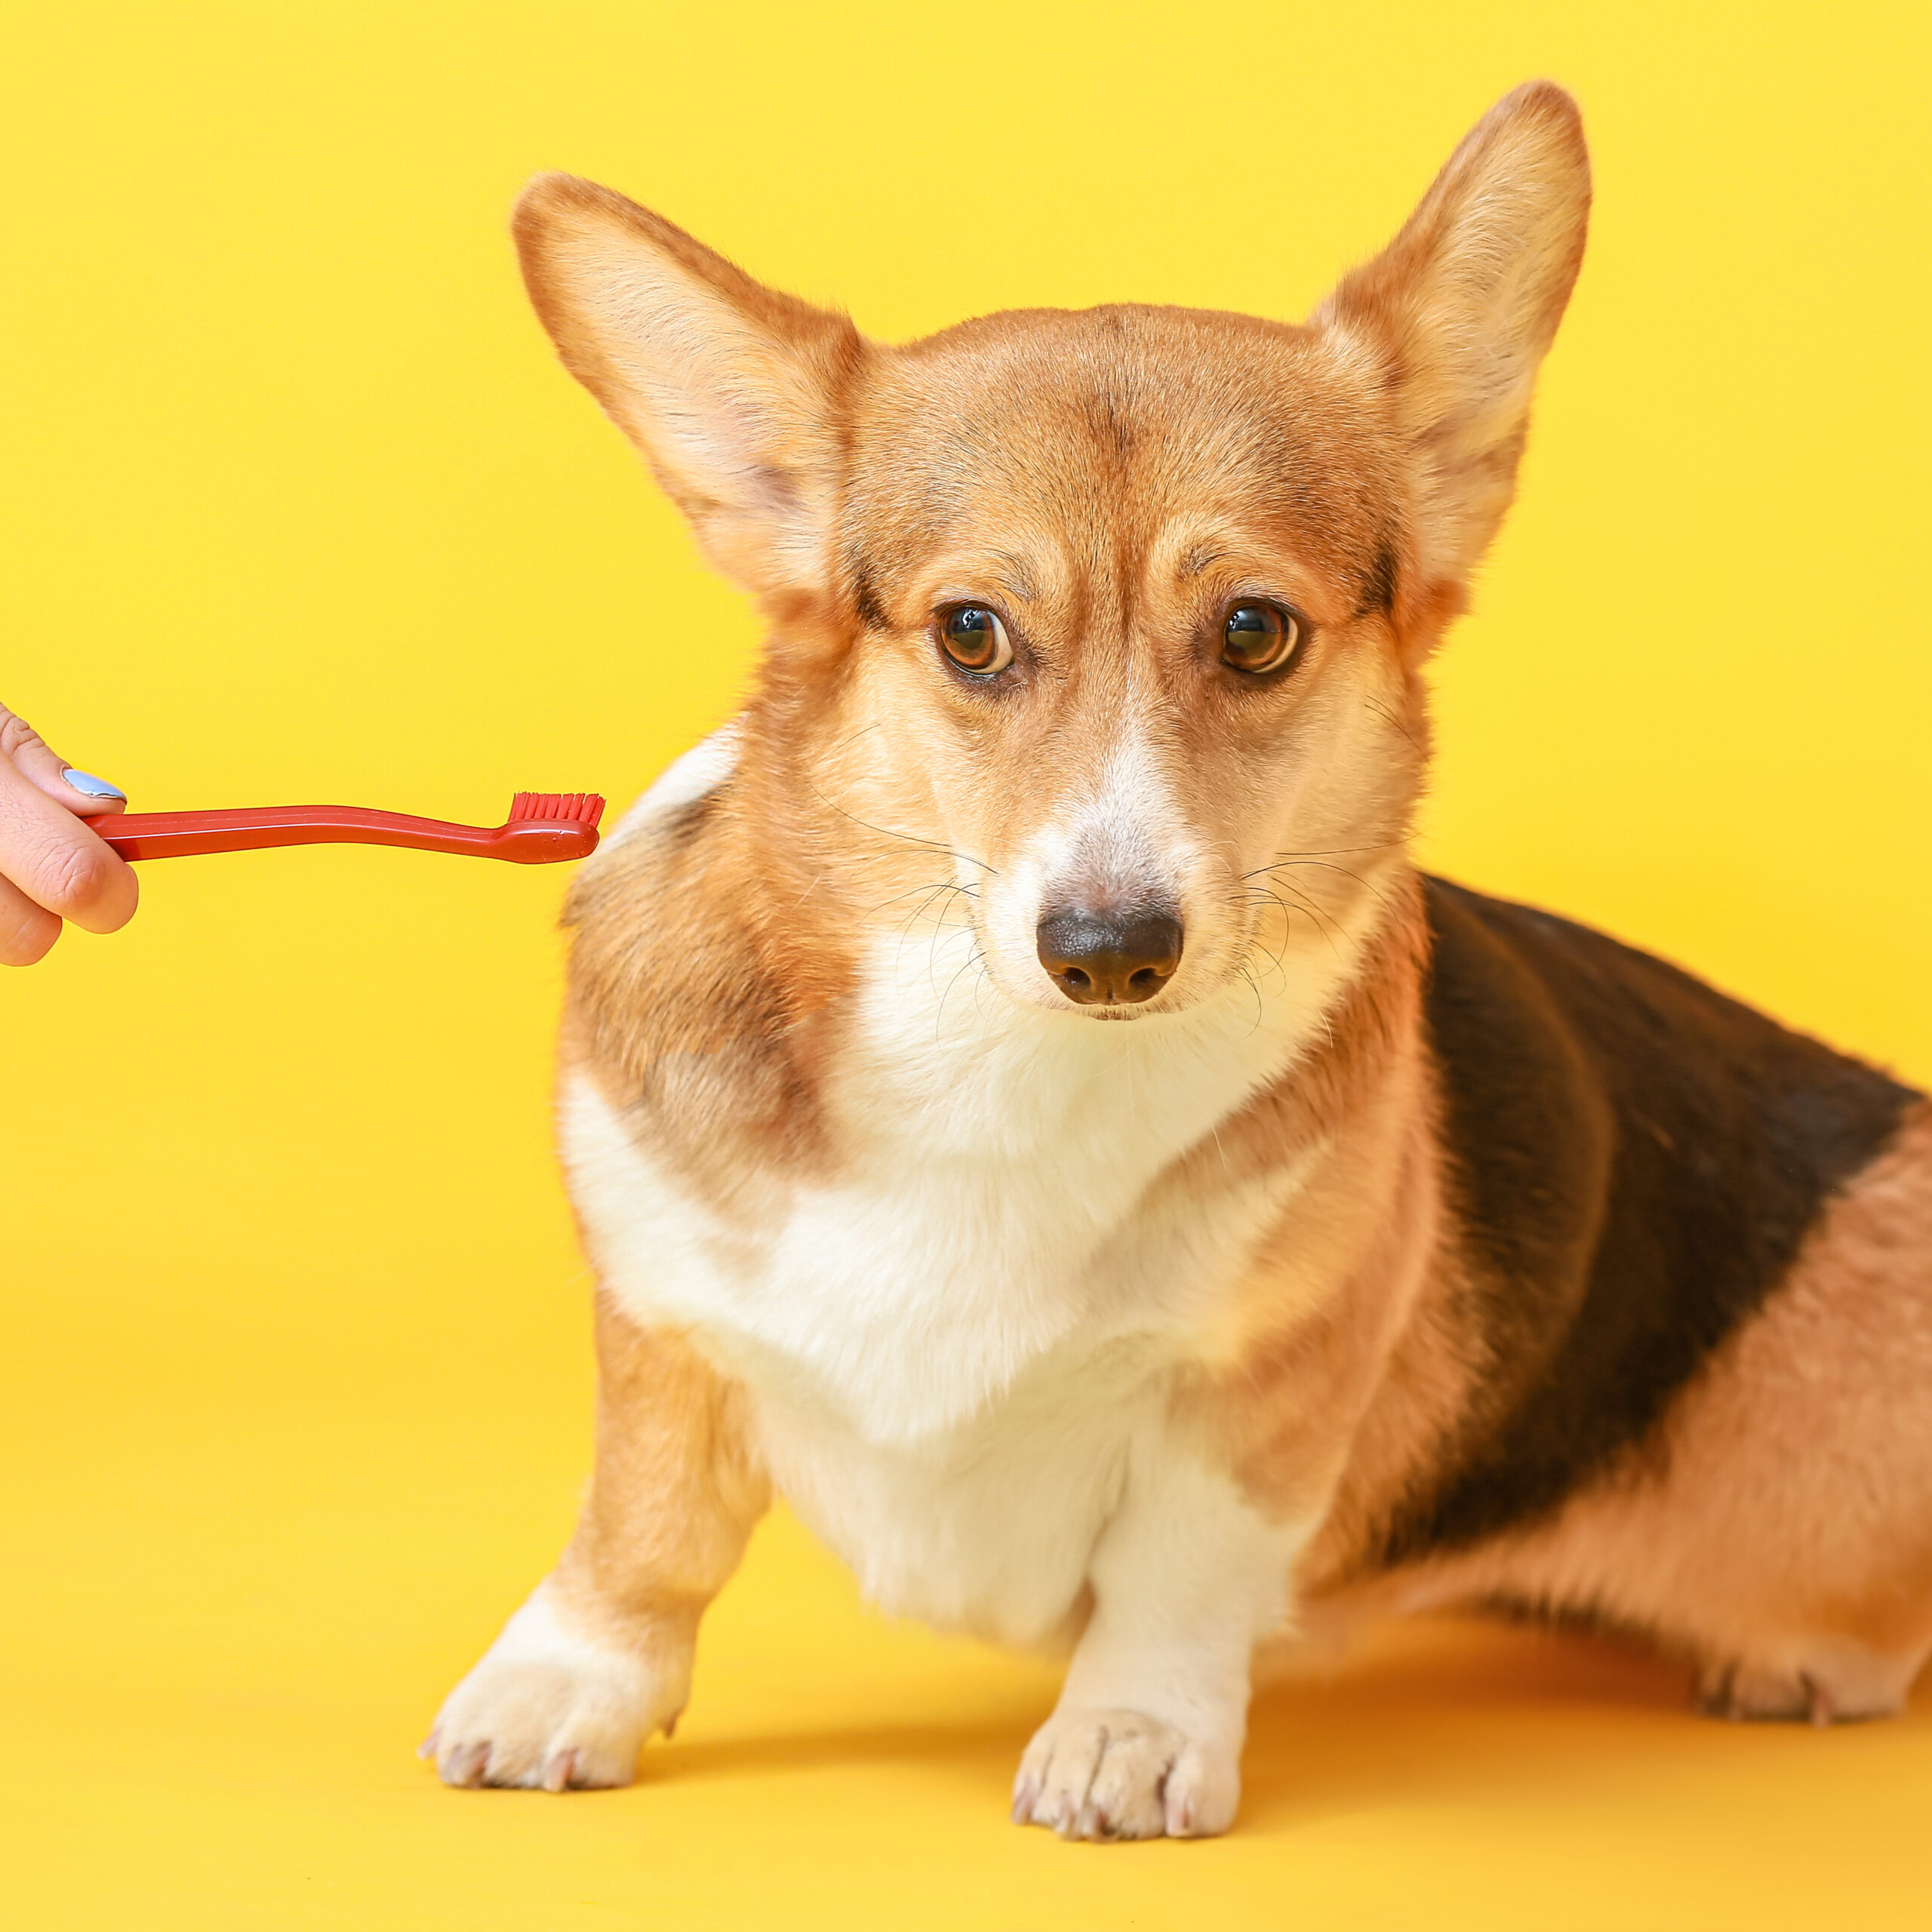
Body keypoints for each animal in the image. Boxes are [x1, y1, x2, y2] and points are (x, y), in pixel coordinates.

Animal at [430, 87, 1932, 1839]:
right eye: (969, 633)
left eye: (1254, 632)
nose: (1108, 950)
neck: (1007, 1068)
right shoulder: (661, 1313)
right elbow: (643, 1525)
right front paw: (565, 1684)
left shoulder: (1262, 1390)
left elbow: (1177, 1576)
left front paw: (1129, 1736)